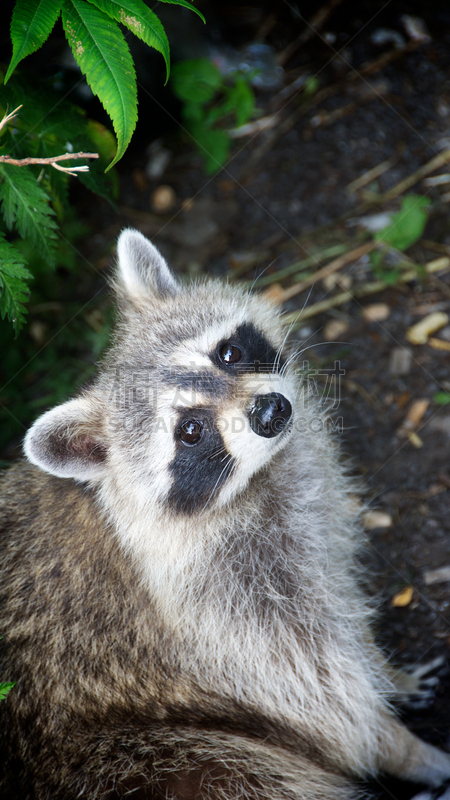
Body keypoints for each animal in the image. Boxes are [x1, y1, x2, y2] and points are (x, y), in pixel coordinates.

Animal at [0, 227, 450, 800]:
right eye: (190, 430)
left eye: (229, 352)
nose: (271, 411)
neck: (258, 482)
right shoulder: (222, 613)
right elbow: (328, 703)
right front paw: (410, 751)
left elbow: (341, 614)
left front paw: (389, 675)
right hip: (149, 757)